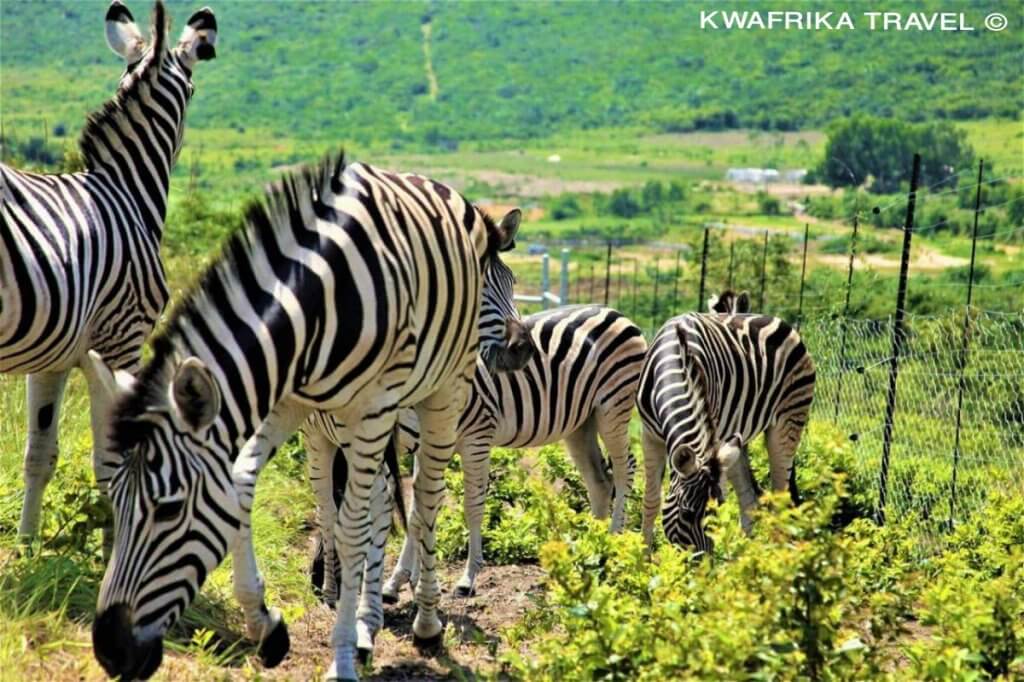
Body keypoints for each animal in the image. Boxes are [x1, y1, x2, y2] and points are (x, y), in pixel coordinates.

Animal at [1, 0, 218, 540]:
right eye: (193, 90)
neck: (126, 186)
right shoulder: (122, 342)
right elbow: (113, 463)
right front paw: (114, 545)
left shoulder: (53, 356)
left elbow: (38, 454)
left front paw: (29, 545)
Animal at [83, 153, 536, 679]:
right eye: (114, 499)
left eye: (169, 510)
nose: (109, 649)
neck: (314, 311)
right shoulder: (285, 404)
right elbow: (243, 489)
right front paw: (265, 623)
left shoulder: (372, 409)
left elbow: (353, 527)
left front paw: (342, 654)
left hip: (443, 392)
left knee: (425, 500)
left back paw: (425, 621)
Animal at [301, 303, 647, 626]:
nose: (315, 584)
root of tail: (612, 310)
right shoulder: (422, 447)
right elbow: (416, 512)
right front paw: (398, 582)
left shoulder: (477, 438)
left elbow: (470, 507)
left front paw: (466, 578)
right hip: (580, 423)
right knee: (599, 481)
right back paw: (593, 545)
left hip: (613, 407)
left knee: (625, 467)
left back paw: (614, 541)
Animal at [630, 311, 815, 548]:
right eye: (687, 514)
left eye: (715, 510)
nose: (702, 558)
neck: (675, 361)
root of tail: (784, 324)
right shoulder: (650, 435)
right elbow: (652, 500)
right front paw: (643, 554)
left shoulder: (712, 430)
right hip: (738, 437)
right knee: (750, 499)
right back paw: (743, 554)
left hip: (789, 418)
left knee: (779, 497)